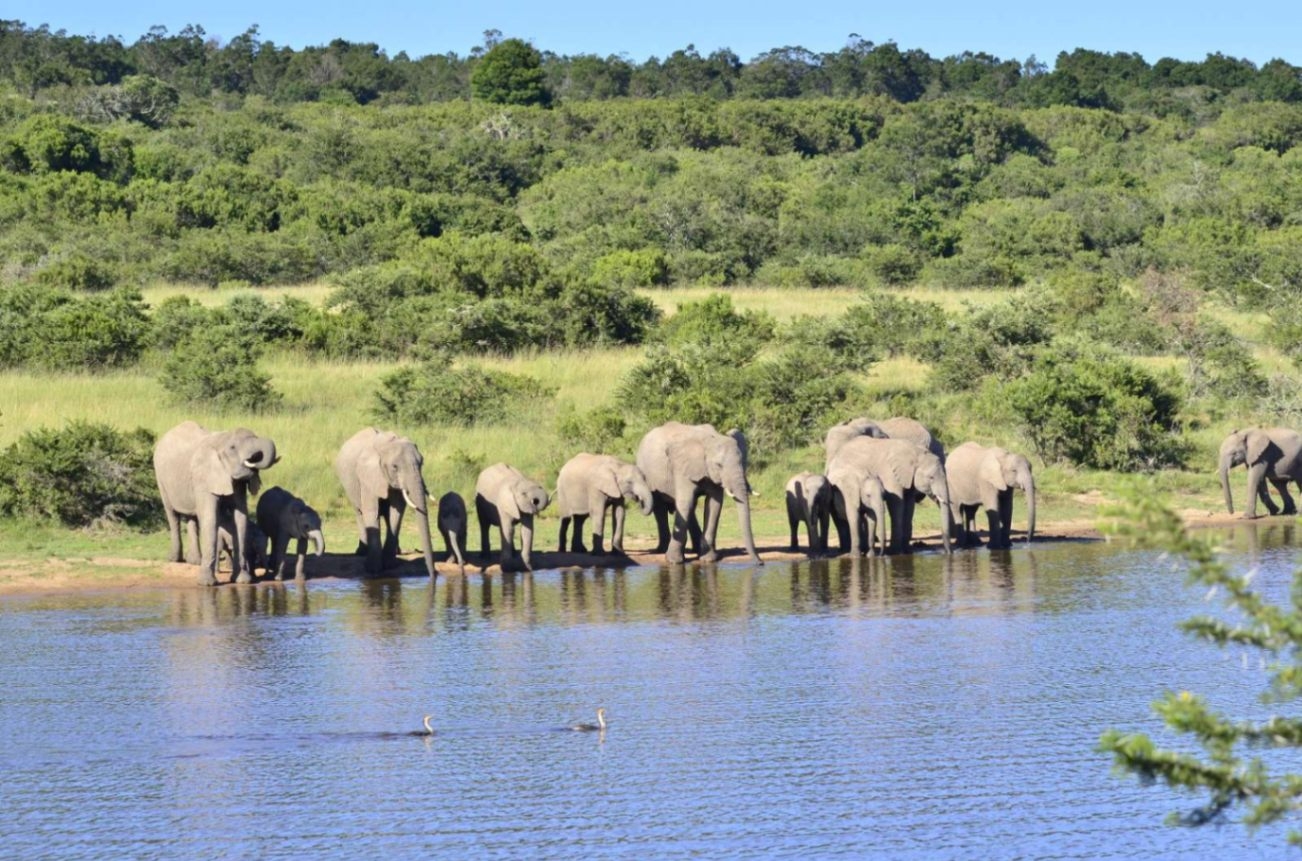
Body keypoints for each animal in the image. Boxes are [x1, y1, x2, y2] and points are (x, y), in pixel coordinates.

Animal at [156, 422, 281, 583]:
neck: (222, 439)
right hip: (161, 478)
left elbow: (241, 518)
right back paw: (175, 559)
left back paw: (194, 561)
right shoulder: (203, 476)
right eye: (233, 447)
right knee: (172, 515)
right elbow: (210, 517)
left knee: (192, 517)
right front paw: (207, 583)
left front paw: (242, 580)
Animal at [335, 427, 437, 578]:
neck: (387, 445)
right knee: (359, 513)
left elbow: (396, 512)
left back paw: (397, 552)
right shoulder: (367, 476)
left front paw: (390, 565)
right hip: (349, 486)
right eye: (394, 467)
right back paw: (361, 552)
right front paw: (373, 570)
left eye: (421, 463)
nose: (433, 575)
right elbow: (372, 511)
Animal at [632, 422, 760, 565]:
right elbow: (685, 502)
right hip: (649, 475)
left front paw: (709, 559)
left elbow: (714, 504)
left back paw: (696, 550)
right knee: (660, 508)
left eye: (742, 462)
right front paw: (674, 561)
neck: (711, 439)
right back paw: (662, 550)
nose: (760, 563)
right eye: (719, 465)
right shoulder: (682, 467)